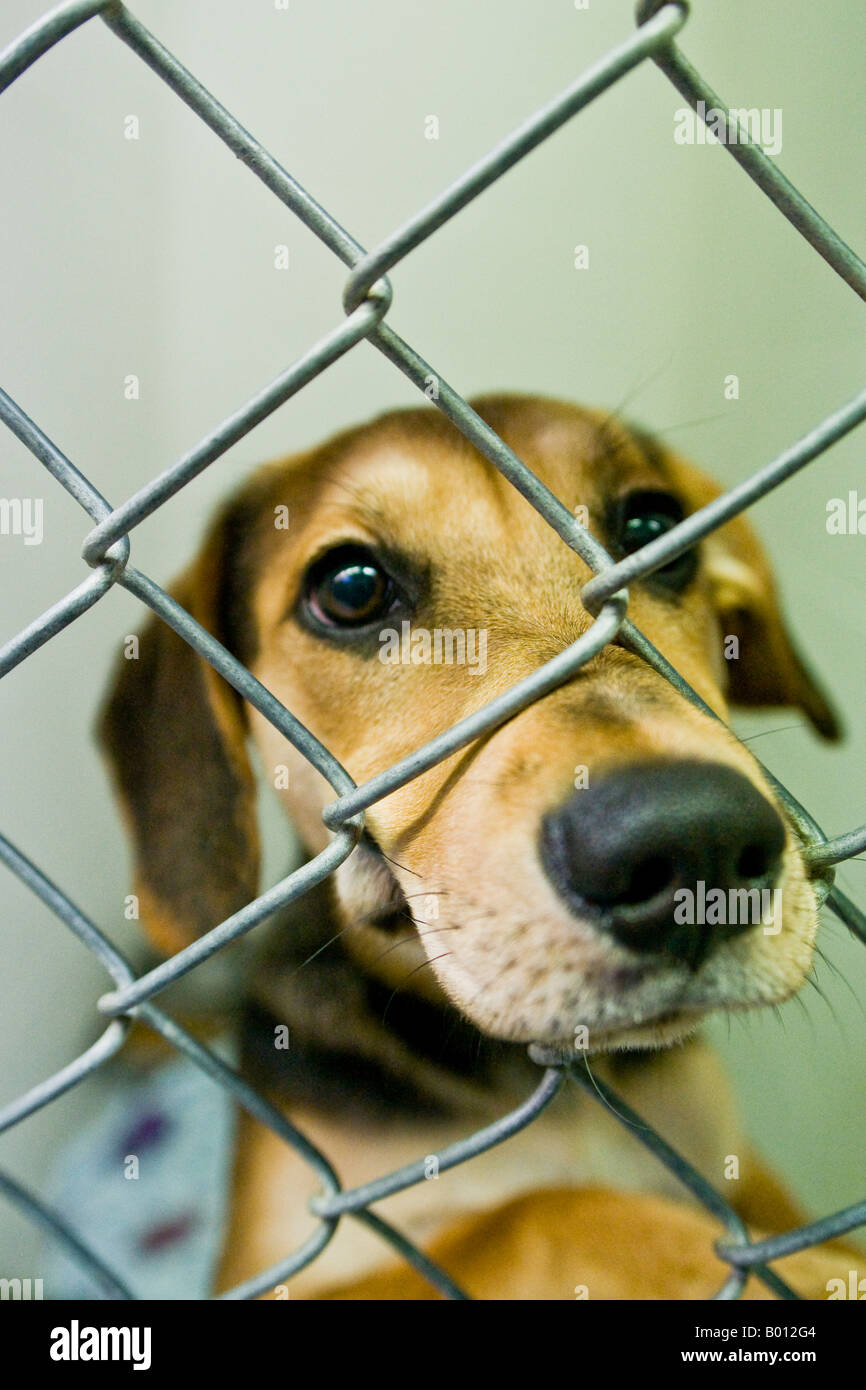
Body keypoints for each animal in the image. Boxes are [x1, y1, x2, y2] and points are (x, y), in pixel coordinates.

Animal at [100, 394, 856, 1301]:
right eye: (350, 589)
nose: (693, 843)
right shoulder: (279, 1266)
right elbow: (537, 1211)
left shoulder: (737, 1165)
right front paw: (817, 1267)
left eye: (654, 526)